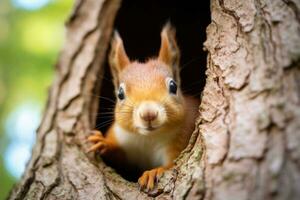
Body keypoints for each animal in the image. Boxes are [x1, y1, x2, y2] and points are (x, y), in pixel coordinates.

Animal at [87, 22, 199, 191]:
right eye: (120, 93)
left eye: (173, 86)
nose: (148, 114)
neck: (148, 139)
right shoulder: (122, 138)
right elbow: (118, 156)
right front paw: (103, 142)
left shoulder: (182, 138)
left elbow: (171, 165)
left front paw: (153, 172)